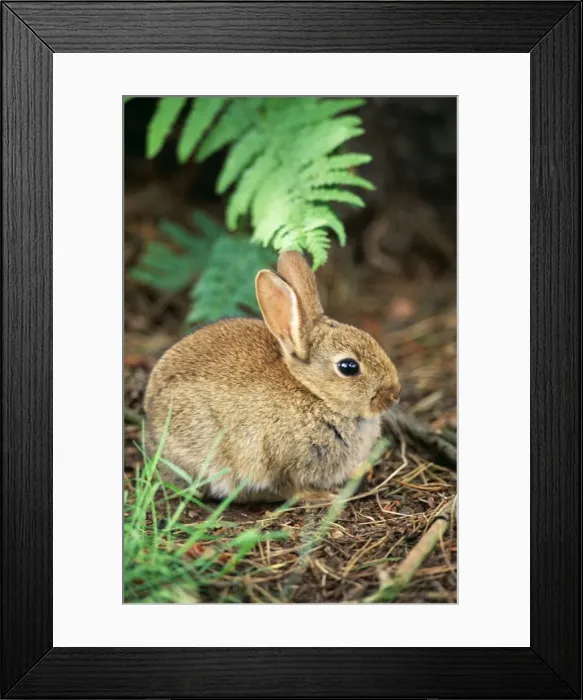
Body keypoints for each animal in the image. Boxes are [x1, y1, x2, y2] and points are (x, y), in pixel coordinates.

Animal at [144, 250, 400, 503]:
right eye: (348, 367)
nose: (394, 394)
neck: (313, 391)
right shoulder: (277, 457)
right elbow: (288, 486)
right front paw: (319, 495)